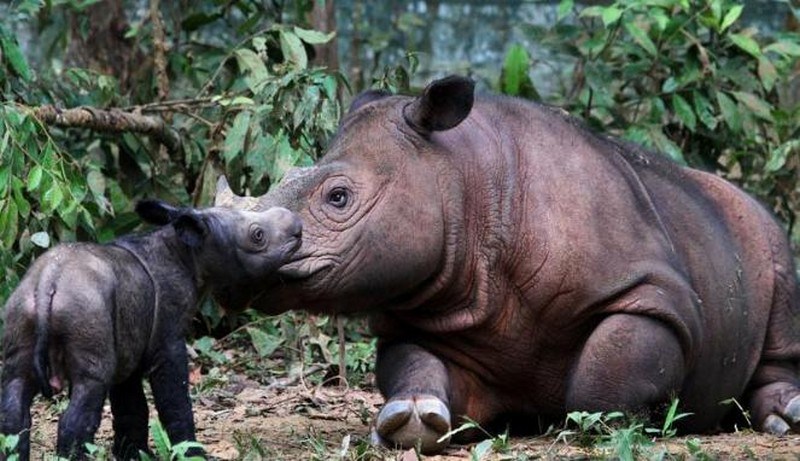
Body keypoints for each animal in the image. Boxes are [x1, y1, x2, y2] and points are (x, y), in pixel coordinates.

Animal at [0, 200, 301, 460]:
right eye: (258, 235)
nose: (298, 227)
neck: (189, 253)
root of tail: (48, 282)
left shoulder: (130, 344)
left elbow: (131, 406)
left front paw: (133, 455)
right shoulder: (167, 339)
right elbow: (174, 402)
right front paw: (193, 454)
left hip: (21, 308)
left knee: (15, 396)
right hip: (84, 310)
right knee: (89, 387)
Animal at [216, 75, 800, 454]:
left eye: (338, 198)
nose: (230, 259)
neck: (464, 185)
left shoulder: (649, 292)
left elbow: (608, 373)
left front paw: (620, 421)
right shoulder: (425, 313)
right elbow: (414, 369)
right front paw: (412, 422)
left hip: (761, 233)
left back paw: (784, 417)